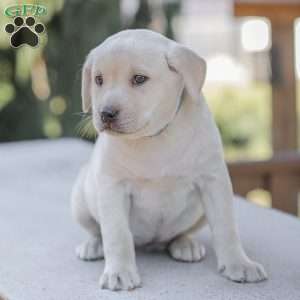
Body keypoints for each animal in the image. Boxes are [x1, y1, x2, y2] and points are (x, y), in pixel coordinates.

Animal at [72, 29, 268, 290]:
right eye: (99, 80)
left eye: (139, 79)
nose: (105, 114)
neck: (155, 137)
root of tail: (151, 243)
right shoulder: (112, 188)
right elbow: (116, 234)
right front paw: (119, 271)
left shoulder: (214, 182)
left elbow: (226, 227)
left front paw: (239, 263)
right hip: (80, 199)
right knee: (97, 230)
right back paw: (93, 245)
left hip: (199, 214)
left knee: (178, 234)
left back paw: (185, 244)